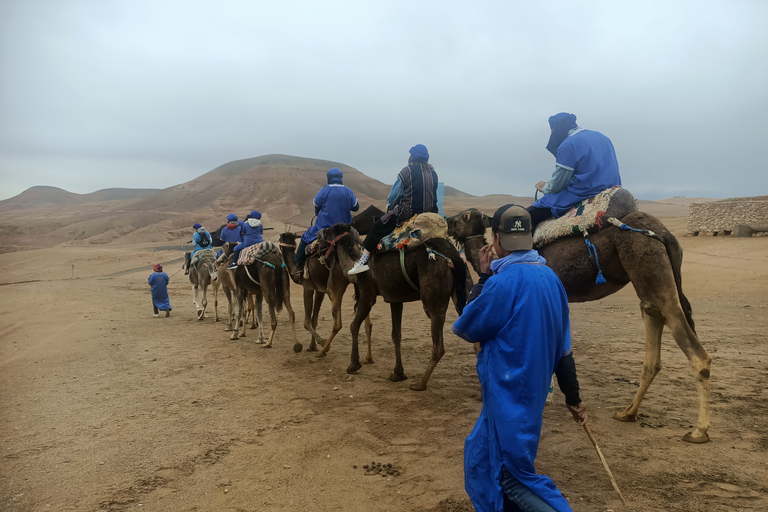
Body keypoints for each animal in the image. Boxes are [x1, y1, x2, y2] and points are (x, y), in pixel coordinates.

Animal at [280, 228, 372, 360]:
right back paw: (368, 358)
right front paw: (312, 346)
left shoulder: (308, 287)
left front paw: (320, 342)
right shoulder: (319, 290)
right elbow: (314, 320)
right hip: (360, 283)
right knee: (368, 322)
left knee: (338, 323)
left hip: (335, 286)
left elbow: (307, 322)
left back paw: (323, 351)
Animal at [332, 223, 472, 388]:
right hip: (462, 290)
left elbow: (354, 326)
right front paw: (398, 373)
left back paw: (420, 384)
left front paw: (353, 365)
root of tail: (451, 255)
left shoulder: (367, 295)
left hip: (434, 301)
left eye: (324, 234)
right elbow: (396, 334)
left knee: (439, 347)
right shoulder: (395, 299)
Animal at [450, 208, 712, 444]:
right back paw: (628, 413)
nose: (447, 221)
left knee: (695, 352)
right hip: (649, 283)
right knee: (653, 332)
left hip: (648, 265)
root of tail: (665, 234)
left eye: (463, 216)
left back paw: (699, 432)